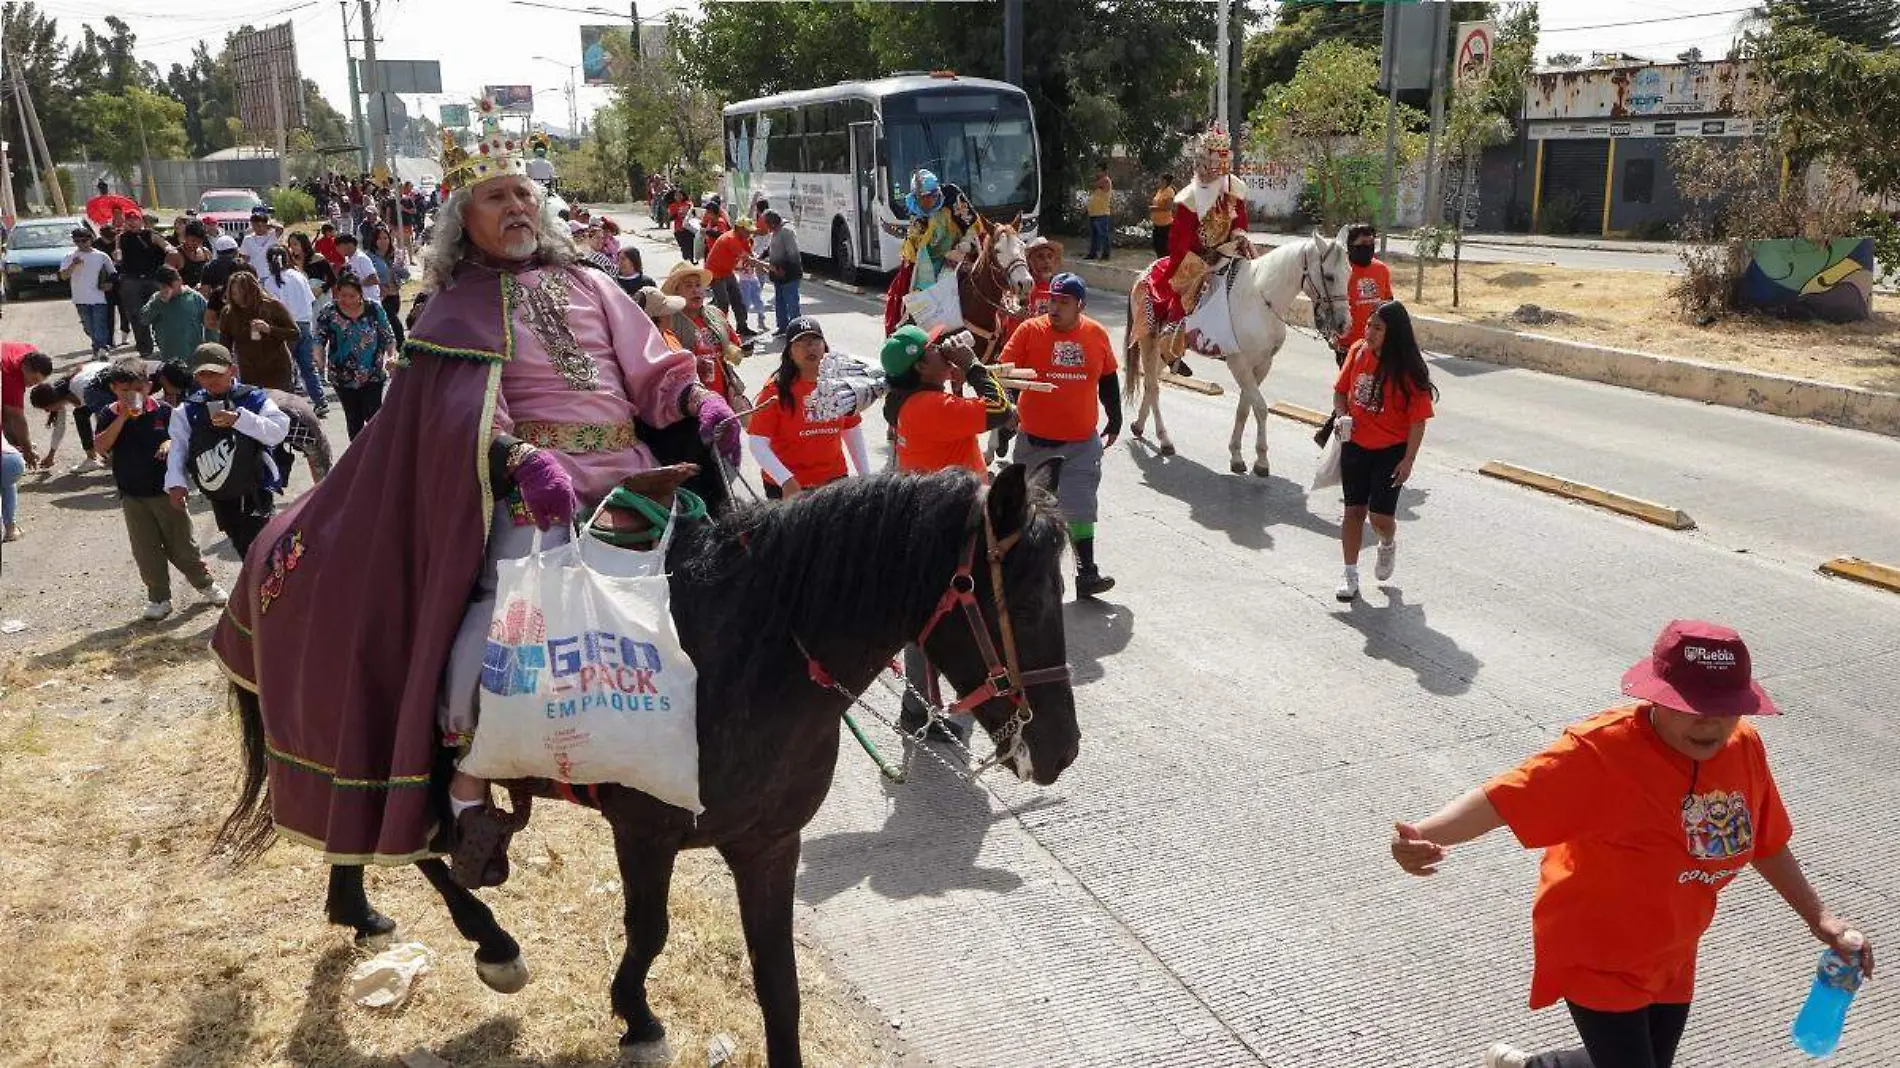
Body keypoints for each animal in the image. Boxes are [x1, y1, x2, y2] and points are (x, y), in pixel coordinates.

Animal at [213, 461, 1086, 1056]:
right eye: (1028, 597)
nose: (1061, 749)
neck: (745, 651)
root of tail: (280, 536)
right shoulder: (645, 832)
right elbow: (650, 931)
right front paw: (637, 1017)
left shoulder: (769, 846)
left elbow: (779, 985)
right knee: (410, 836)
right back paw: (491, 942)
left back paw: (357, 907)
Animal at [1117, 229, 1360, 473]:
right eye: (1329, 276)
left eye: (1349, 273)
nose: (1344, 324)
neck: (1260, 301)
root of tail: (1144, 273)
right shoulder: (1239, 363)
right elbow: (1260, 407)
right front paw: (1261, 460)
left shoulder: (1262, 365)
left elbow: (1244, 408)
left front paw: (1237, 454)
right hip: (1148, 341)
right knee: (1154, 387)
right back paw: (1164, 439)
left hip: (1166, 348)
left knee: (1151, 382)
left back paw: (1139, 425)